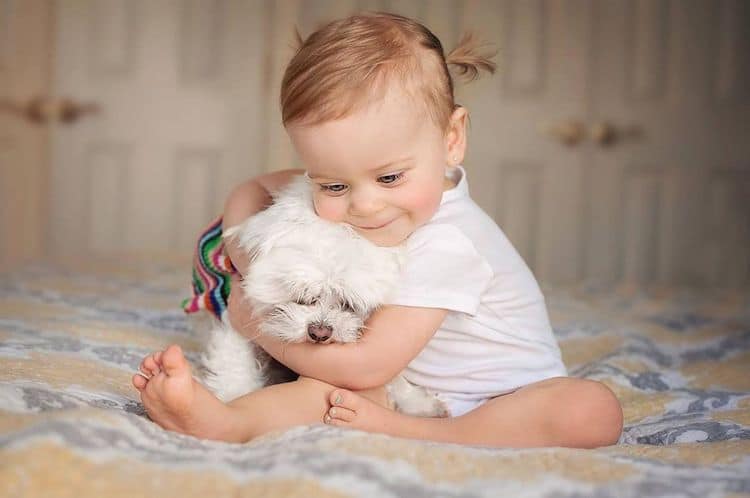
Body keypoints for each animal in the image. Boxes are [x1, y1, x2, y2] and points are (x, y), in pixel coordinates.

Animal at [197, 175, 450, 416]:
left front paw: (417, 402)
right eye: (303, 297)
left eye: (348, 304)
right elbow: (235, 365)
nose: (320, 332)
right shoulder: (234, 318)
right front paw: (233, 396)